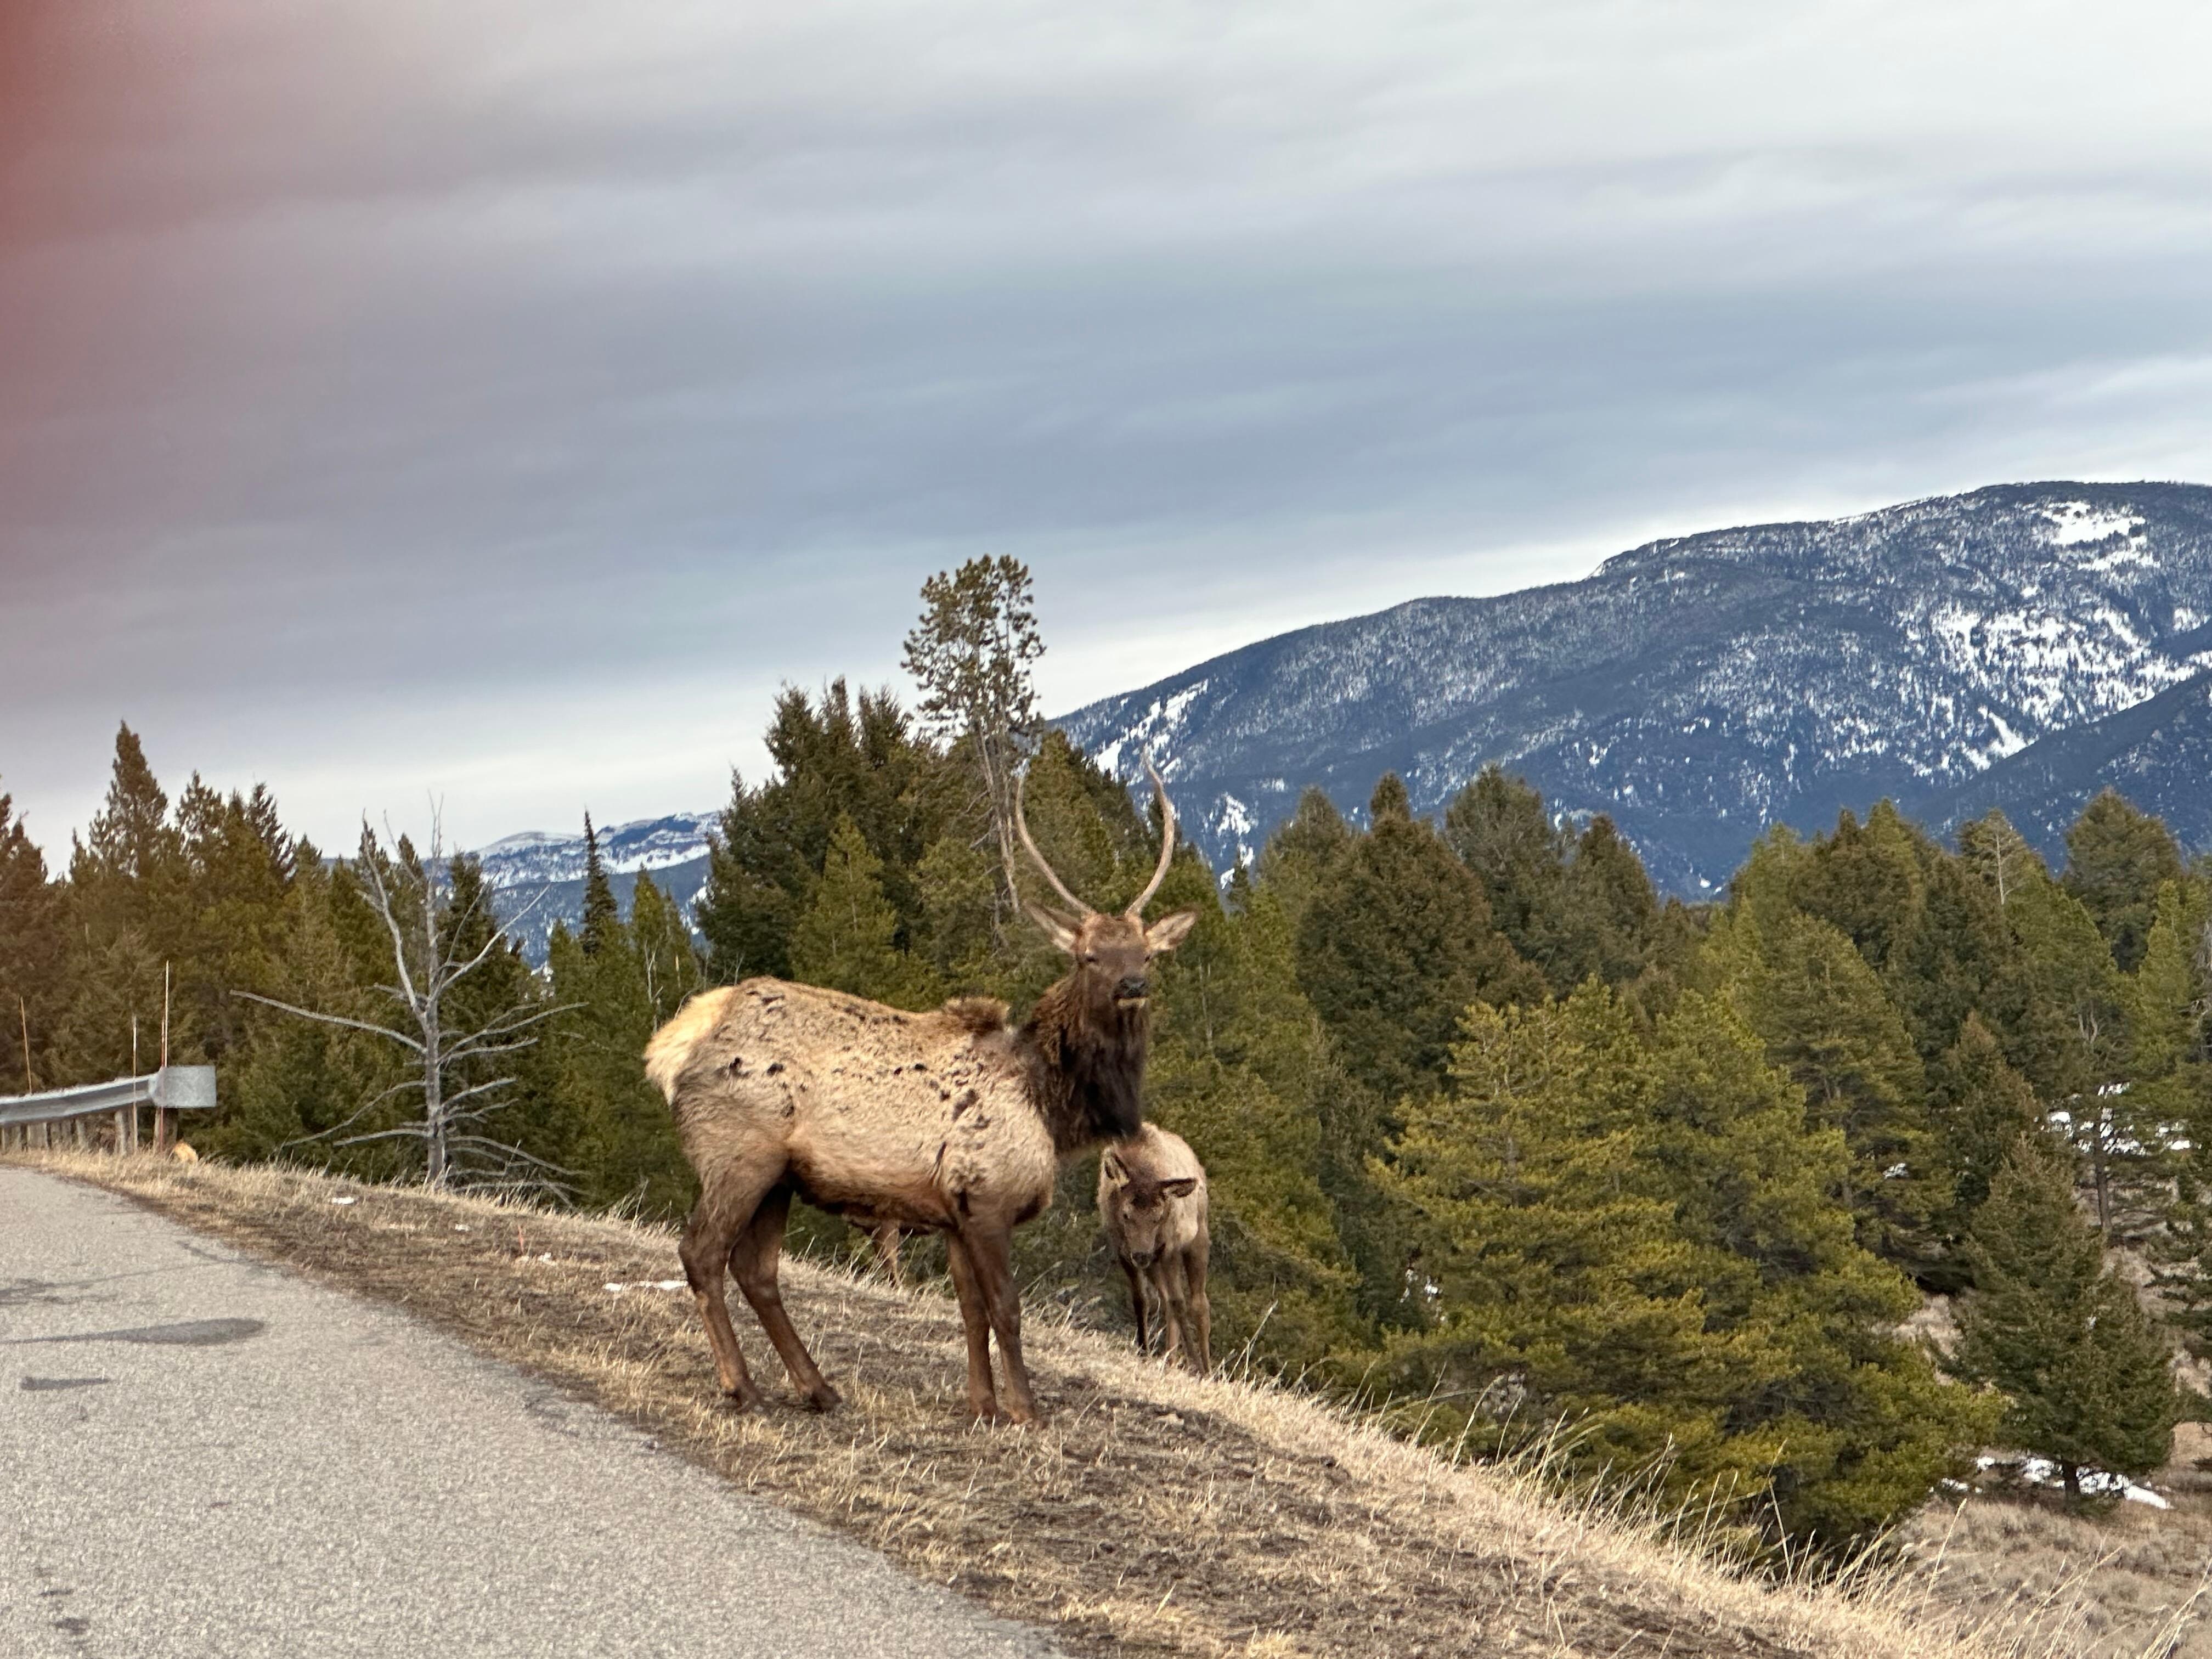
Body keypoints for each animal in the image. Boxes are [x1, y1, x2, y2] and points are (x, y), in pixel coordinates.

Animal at [644, 759, 1196, 1426]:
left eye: (1147, 953)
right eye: (1090, 956)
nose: (1132, 985)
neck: (1050, 1103)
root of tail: (672, 1045)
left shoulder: (953, 1212)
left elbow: (971, 1311)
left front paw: (982, 1404)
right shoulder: (987, 1200)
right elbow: (1007, 1309)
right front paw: (1026, 1410)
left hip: (778, 1177)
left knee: (757, 1270)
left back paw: (818, 1388)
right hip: (738, 1155)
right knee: (701, 1253)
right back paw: (743, 1387)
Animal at [1099, 1123, 1211, 1374]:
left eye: (1158, 1218)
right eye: (1126, 1215)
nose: (1141, 1254)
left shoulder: (1169, 1248)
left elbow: (1179, 1303)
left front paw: (1196, 1363)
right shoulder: (1123, 1249)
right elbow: (1141, 1299)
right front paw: (1144, 1350)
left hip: (1196, 1242)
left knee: (1199, 1303)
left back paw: (1207, 1368)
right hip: (1155, 1263)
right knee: (1166, 1298)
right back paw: (1170, 1359)